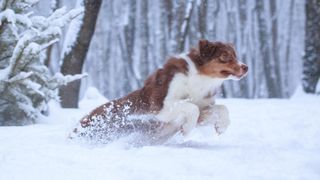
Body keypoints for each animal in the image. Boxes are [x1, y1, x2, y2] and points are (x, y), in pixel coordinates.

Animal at [71, 39, 249, 145]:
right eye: (225, 56)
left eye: (235, 55)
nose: (246, 67)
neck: (200, 79)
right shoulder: (161, 107)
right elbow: (192, 108)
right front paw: (187, 129)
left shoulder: (203, 107)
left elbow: (221, 108)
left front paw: (221, 127)